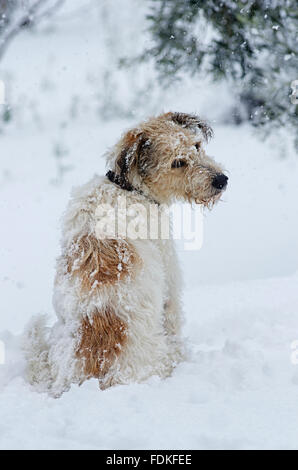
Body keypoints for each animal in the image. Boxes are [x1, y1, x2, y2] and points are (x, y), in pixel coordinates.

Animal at [23, 112, 228, 394]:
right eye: (177, 163)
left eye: (197, 146)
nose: (221, 180)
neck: (126, 187)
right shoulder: (170, 282)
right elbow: (174, 319)